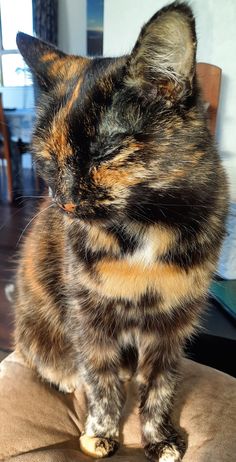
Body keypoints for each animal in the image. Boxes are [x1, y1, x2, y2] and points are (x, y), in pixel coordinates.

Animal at [15, 1, 229, 460]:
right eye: (47, 158)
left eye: (106, 151)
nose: (65, 200)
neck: (143, 228)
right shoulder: (88, 318)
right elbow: (101, 381)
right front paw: (101, 434)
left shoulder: (173, 325)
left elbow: (160, 384)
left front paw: (160, 438)